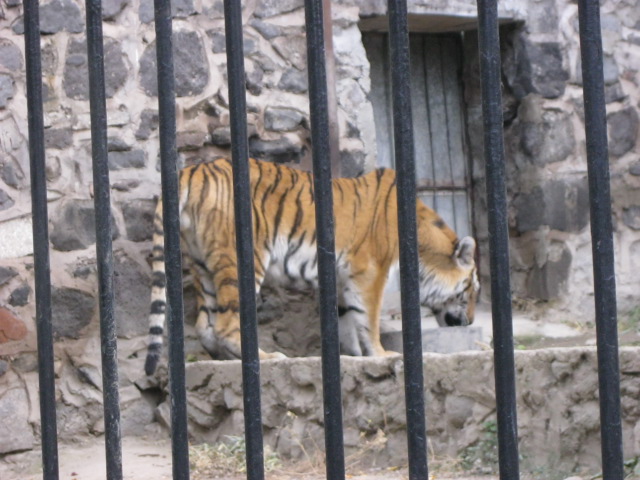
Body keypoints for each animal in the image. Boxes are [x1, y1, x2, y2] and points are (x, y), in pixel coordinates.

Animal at [144, 157, 479, 375]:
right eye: (472, 289)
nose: (473, 321)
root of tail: (192, 170)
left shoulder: (343, 278)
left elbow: (347, 321)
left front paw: (355, 356)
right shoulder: (371, 271)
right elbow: (368, 319)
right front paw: (381, 354)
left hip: (202, 264)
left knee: (205, 326)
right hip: (242, 261)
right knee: (226, 326)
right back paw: (268, 357)